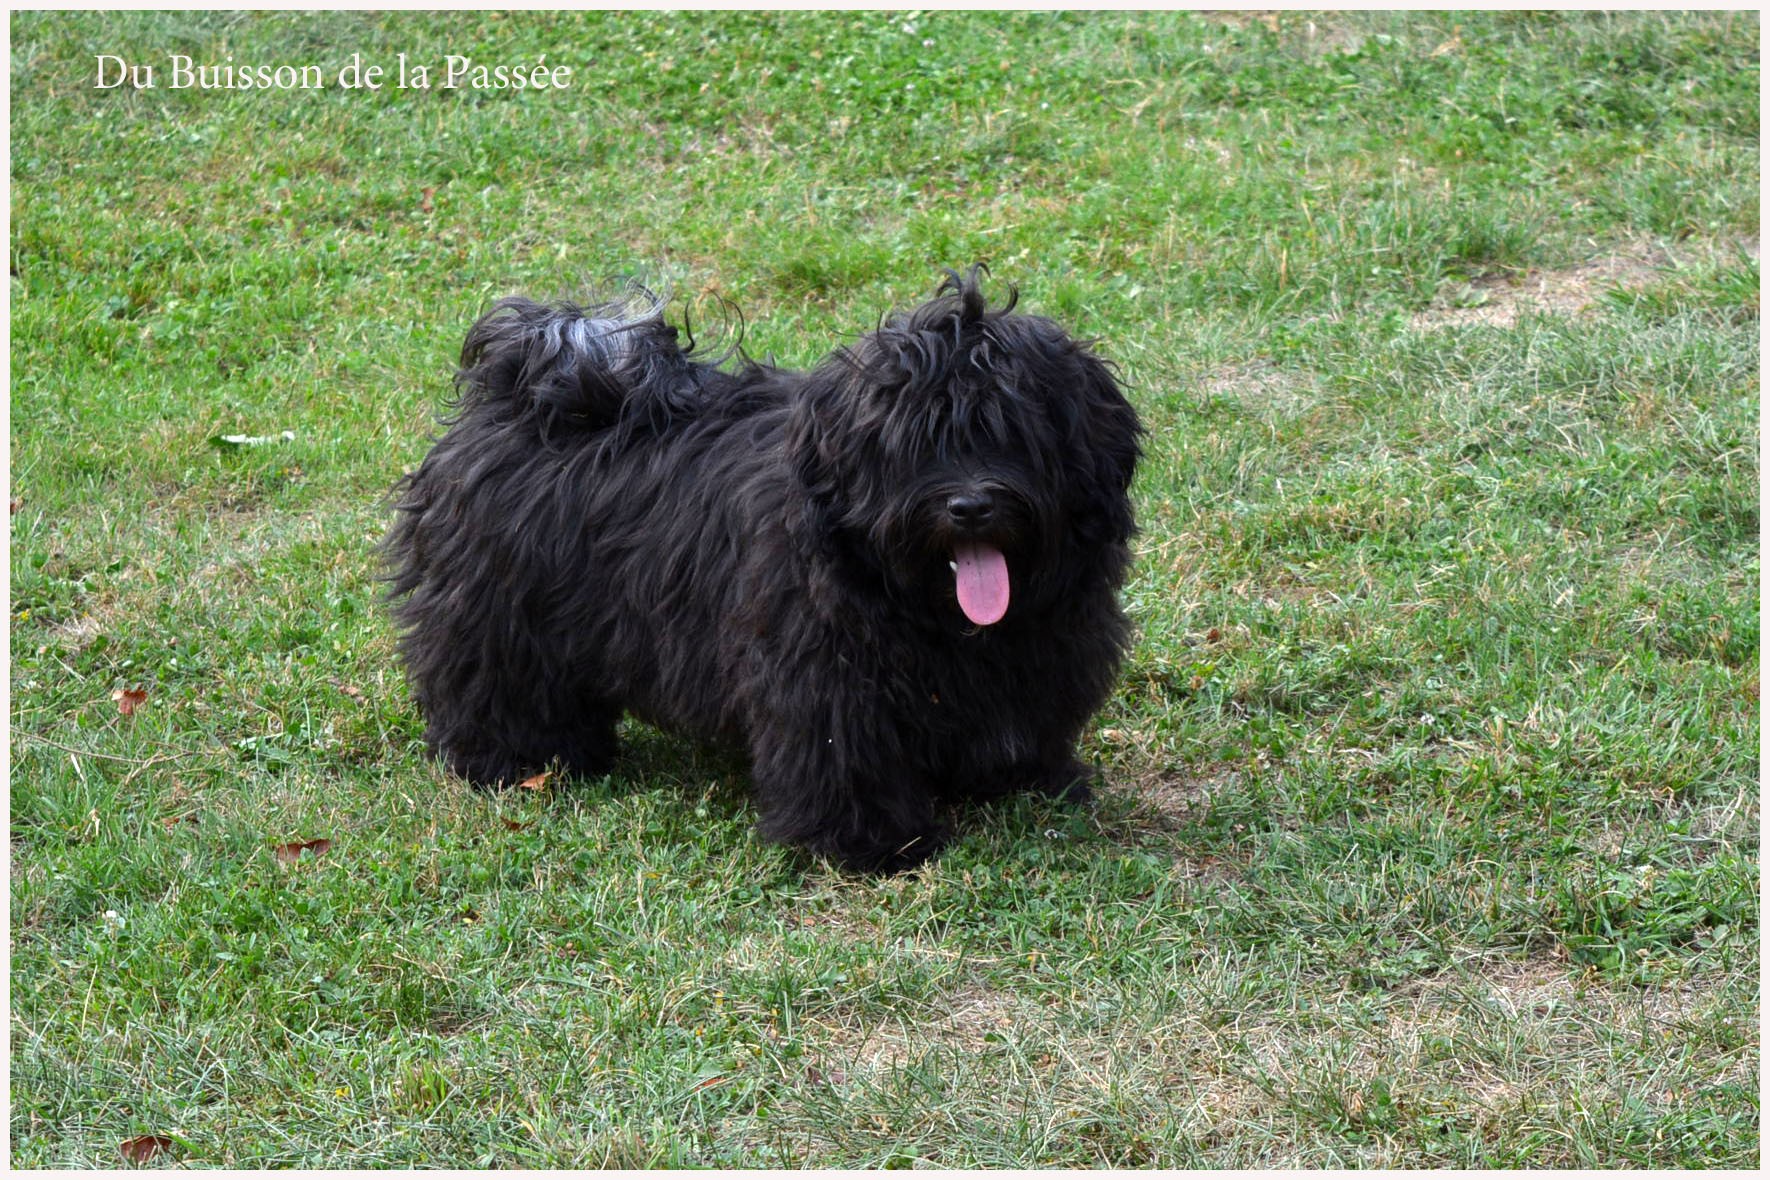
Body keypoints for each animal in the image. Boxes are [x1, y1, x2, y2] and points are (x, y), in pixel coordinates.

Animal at [382, 270, 1139, 877]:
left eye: (1014, 433)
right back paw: (517, 759)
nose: (972, 505)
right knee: (490, 680)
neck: (938, 615)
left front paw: (1023, 779)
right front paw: (872, 844)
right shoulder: (825, 676)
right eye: (916, 444)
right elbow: (845, 756)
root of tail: (531, 386)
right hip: (499, 612)